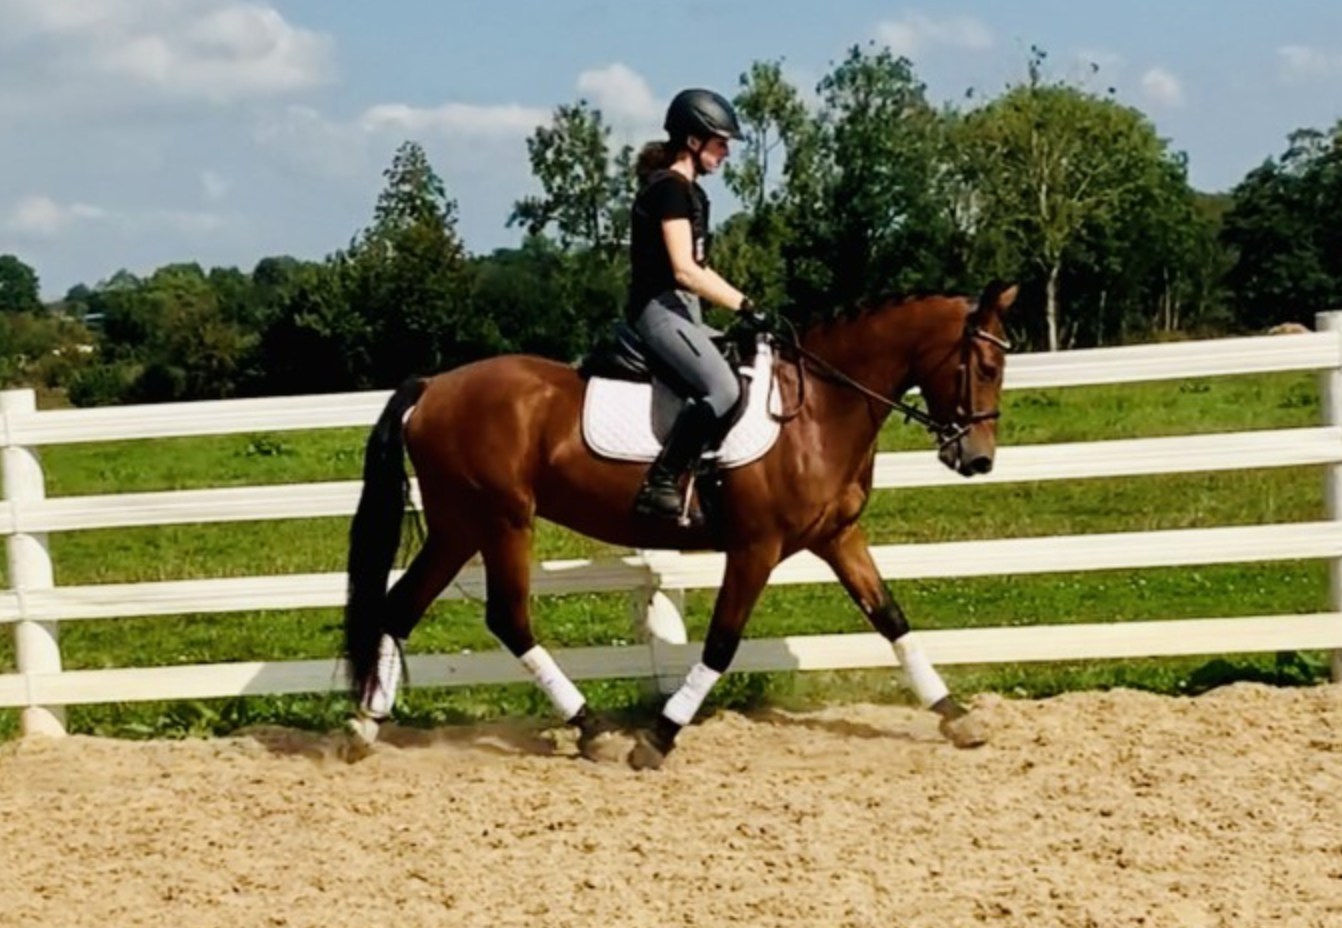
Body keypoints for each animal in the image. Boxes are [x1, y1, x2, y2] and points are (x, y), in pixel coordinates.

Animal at [343, 281, 1017, 769]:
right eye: (984, 365)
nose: (978, 460)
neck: (820, 410)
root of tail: (432, 386)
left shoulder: (837, 537)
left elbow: (891, 620)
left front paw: (956, 716)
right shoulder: (755, 547)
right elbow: (721, 643)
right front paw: (658, 738)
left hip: (459, 527)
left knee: (399, 607)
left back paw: (363, 726)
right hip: (502, 521)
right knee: (507, 618)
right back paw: (591, 729)